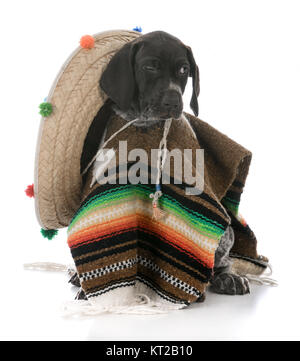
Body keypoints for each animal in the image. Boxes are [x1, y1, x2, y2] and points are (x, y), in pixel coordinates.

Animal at [81, 30, 250, 296]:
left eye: (183, 69)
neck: (145, 123)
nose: (173, 101)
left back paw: (226, 278)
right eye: (150, 67)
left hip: (227, 233)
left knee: (221, 259)